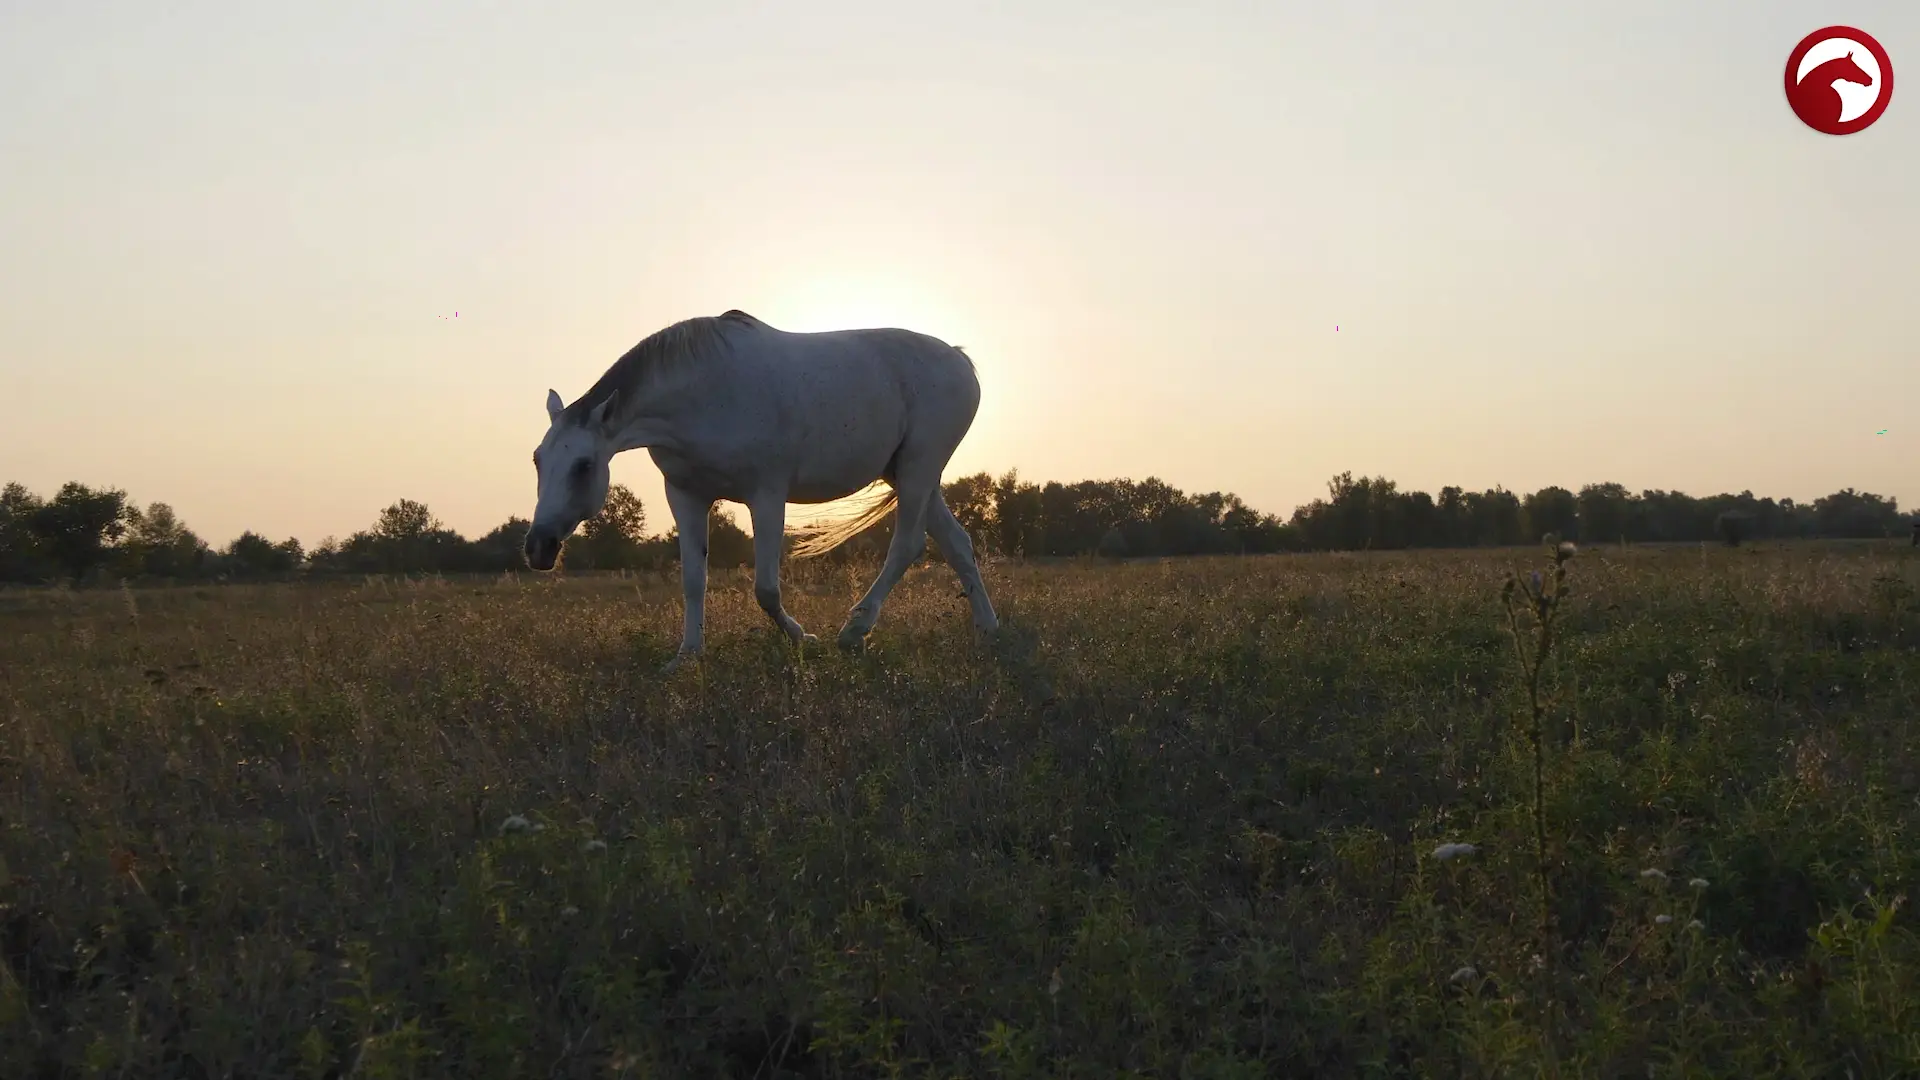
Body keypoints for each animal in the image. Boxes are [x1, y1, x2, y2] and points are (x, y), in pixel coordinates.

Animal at [523, 309, 999, 672]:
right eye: (537, 459)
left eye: (584, 465)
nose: (537, 548)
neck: (702, 393)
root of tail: (962, 362)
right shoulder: (686, 496)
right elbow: (693, 581)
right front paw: (686, 657)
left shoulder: (766, 496)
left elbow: (766, 589)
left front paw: (804, 638)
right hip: (907, 474)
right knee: (957, 544)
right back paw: (987, 630)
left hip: (920, 467)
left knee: (907, 545)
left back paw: (853, 632)